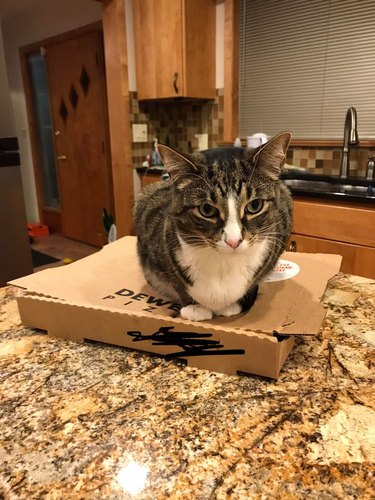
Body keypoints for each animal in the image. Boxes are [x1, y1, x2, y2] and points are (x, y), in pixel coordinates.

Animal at [135, 132, 294, 320]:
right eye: (207, 209)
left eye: (255, 205)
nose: (233, 241)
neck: (224, 263)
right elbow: (176, 282)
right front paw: (194, 308)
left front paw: (232, 306)